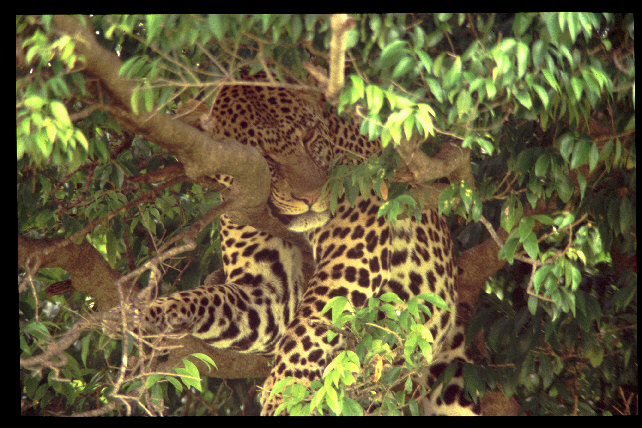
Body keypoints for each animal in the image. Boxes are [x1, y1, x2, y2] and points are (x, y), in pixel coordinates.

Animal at [141, 76, 480, 414]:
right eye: (265, 158)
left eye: (308, 137)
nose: (311, 196)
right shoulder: (264, 288)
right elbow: (208, 301)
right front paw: (146, 315)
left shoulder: (353, 249)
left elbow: (309, 328)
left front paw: (282, 394)